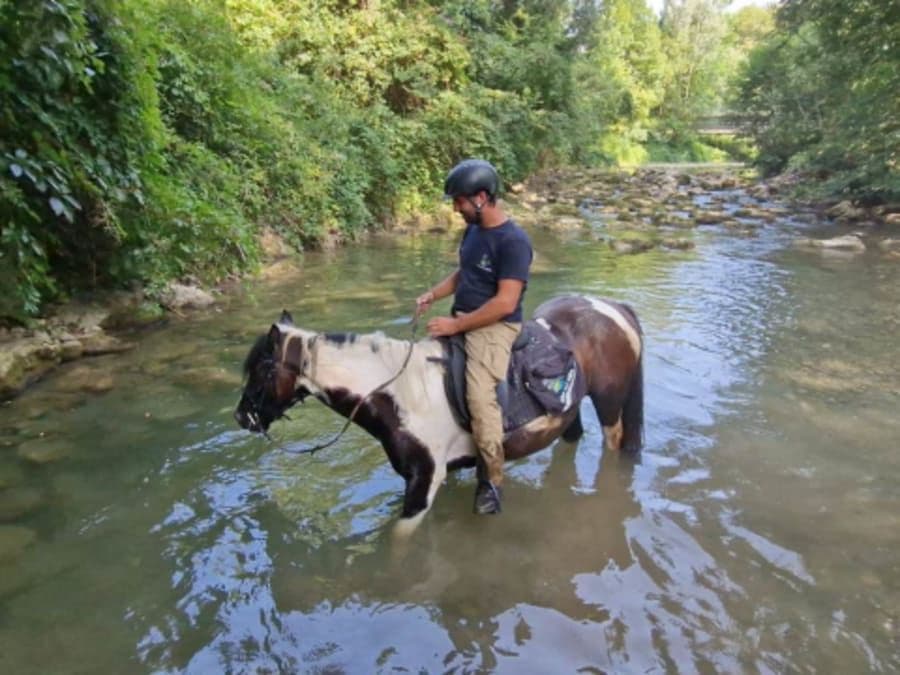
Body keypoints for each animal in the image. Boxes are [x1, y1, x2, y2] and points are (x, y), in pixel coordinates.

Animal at [234, 294, 644, 537]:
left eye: (263, 369)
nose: (242, 417)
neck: (400, 395)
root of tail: (613, 308)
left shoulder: (424, 483)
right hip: (567, 412)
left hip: (609, 406)